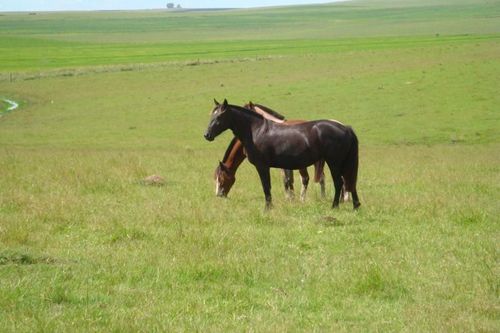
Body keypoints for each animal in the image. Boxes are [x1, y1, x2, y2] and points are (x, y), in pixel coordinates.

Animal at [205, 97, 362, 210]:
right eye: (211, 116)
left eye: (219, 118)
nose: (207, 135)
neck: (256, 130)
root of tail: (345, 128)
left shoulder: (262, 166)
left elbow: (266, 186)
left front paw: (268, 208)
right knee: (349, 181)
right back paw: (355, 205)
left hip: (334, 162)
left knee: (339, 182)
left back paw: (335, 206)